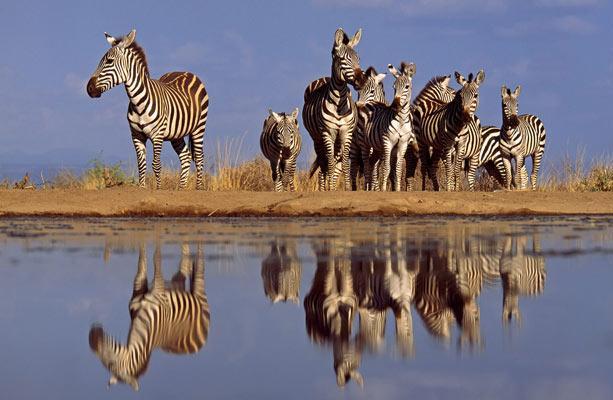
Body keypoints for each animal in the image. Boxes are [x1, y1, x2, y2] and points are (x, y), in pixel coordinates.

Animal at [86, 29, 209, 189]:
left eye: (109, 61)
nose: (89, 89)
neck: (138, 103)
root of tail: (187, 72)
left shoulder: (157, 135)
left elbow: (156, 165)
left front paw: (158, 189)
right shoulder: (136, 135)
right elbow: (141, 164)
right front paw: (142, 187)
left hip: (199, 127)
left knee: (199, 158)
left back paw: (199, 188)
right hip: (177, 134)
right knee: (186, 157)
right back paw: (182, 189)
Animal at [87, 242, 209, 390]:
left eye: (110, 364)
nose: (91, 337)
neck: (143, 321)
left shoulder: (160, 290)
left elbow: (156, 258)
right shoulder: (139, 282)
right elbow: (142, 263)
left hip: (199, 288)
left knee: (199, 263)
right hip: (177, 284)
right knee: (184, 265)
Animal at [302, 28, 364, 191]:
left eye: (358, 59)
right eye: (342, 59)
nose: (361, 81)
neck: (339, 104)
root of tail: (323, 78)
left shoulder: (346, 132)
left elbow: (345, 162)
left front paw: (347, 188)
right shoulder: (327, 132)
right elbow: (329, 163)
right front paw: (329, 189)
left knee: (333, 162)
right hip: (317, 138)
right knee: (324, 163)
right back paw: (325, 187)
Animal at [358, 63, 416, 191]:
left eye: (407, 87)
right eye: (394, 87)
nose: (395, 105)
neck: (401, 120)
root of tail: (370, 103)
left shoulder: (403, 144)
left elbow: (398, 169)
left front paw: (397, 189)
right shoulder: (387, 142)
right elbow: (387, 168)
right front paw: (384, 189)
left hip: (377, 147)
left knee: (372, 163)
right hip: (364, 143)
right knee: (366, 165)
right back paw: (366, 188)